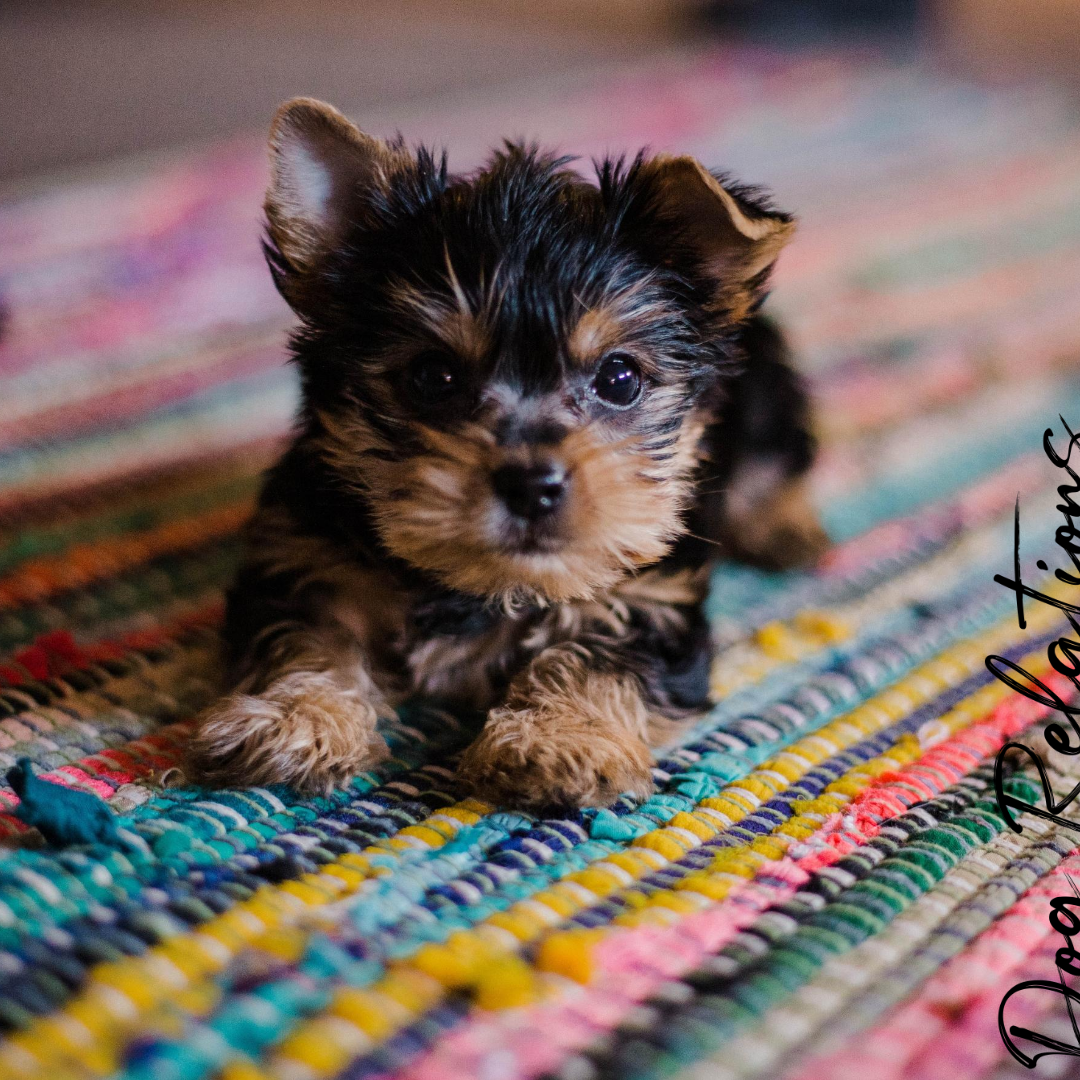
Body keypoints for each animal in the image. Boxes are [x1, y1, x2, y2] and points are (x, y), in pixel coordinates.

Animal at [187, 99, 825, 812]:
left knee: (778, 455)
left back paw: (786, 528)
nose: (532, 485)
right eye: (432, 377)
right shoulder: (303, 553)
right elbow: (306, 634)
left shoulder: (651, 592)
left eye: (620, 378)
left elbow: (599, 653)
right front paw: (296, 719)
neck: (486, 584)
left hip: (766, 392)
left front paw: (562, 740)